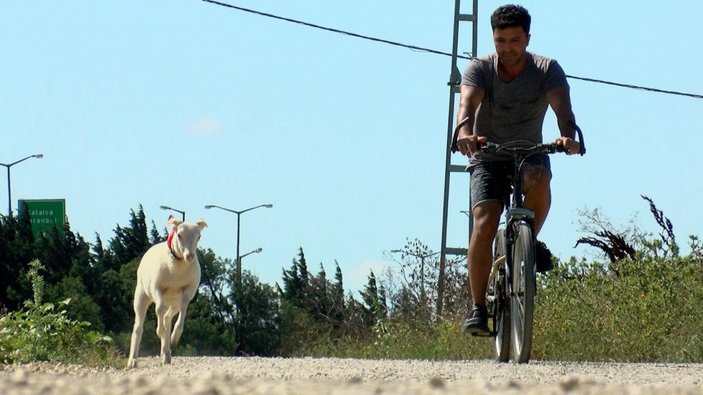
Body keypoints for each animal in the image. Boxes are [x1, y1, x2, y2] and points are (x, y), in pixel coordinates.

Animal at [128, 217, 208, 368]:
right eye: (179, 235)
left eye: (199, 237)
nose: (190, 256)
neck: (176, 270)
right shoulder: (156, 287)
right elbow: (159, 309)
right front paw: (159, 331)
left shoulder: (188, 290)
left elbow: (183, 308)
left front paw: (175, 336)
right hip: (141, 294)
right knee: (139, 326)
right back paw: (132, 360)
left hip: (173, 301)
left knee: (167, 317)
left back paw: (166, 354)